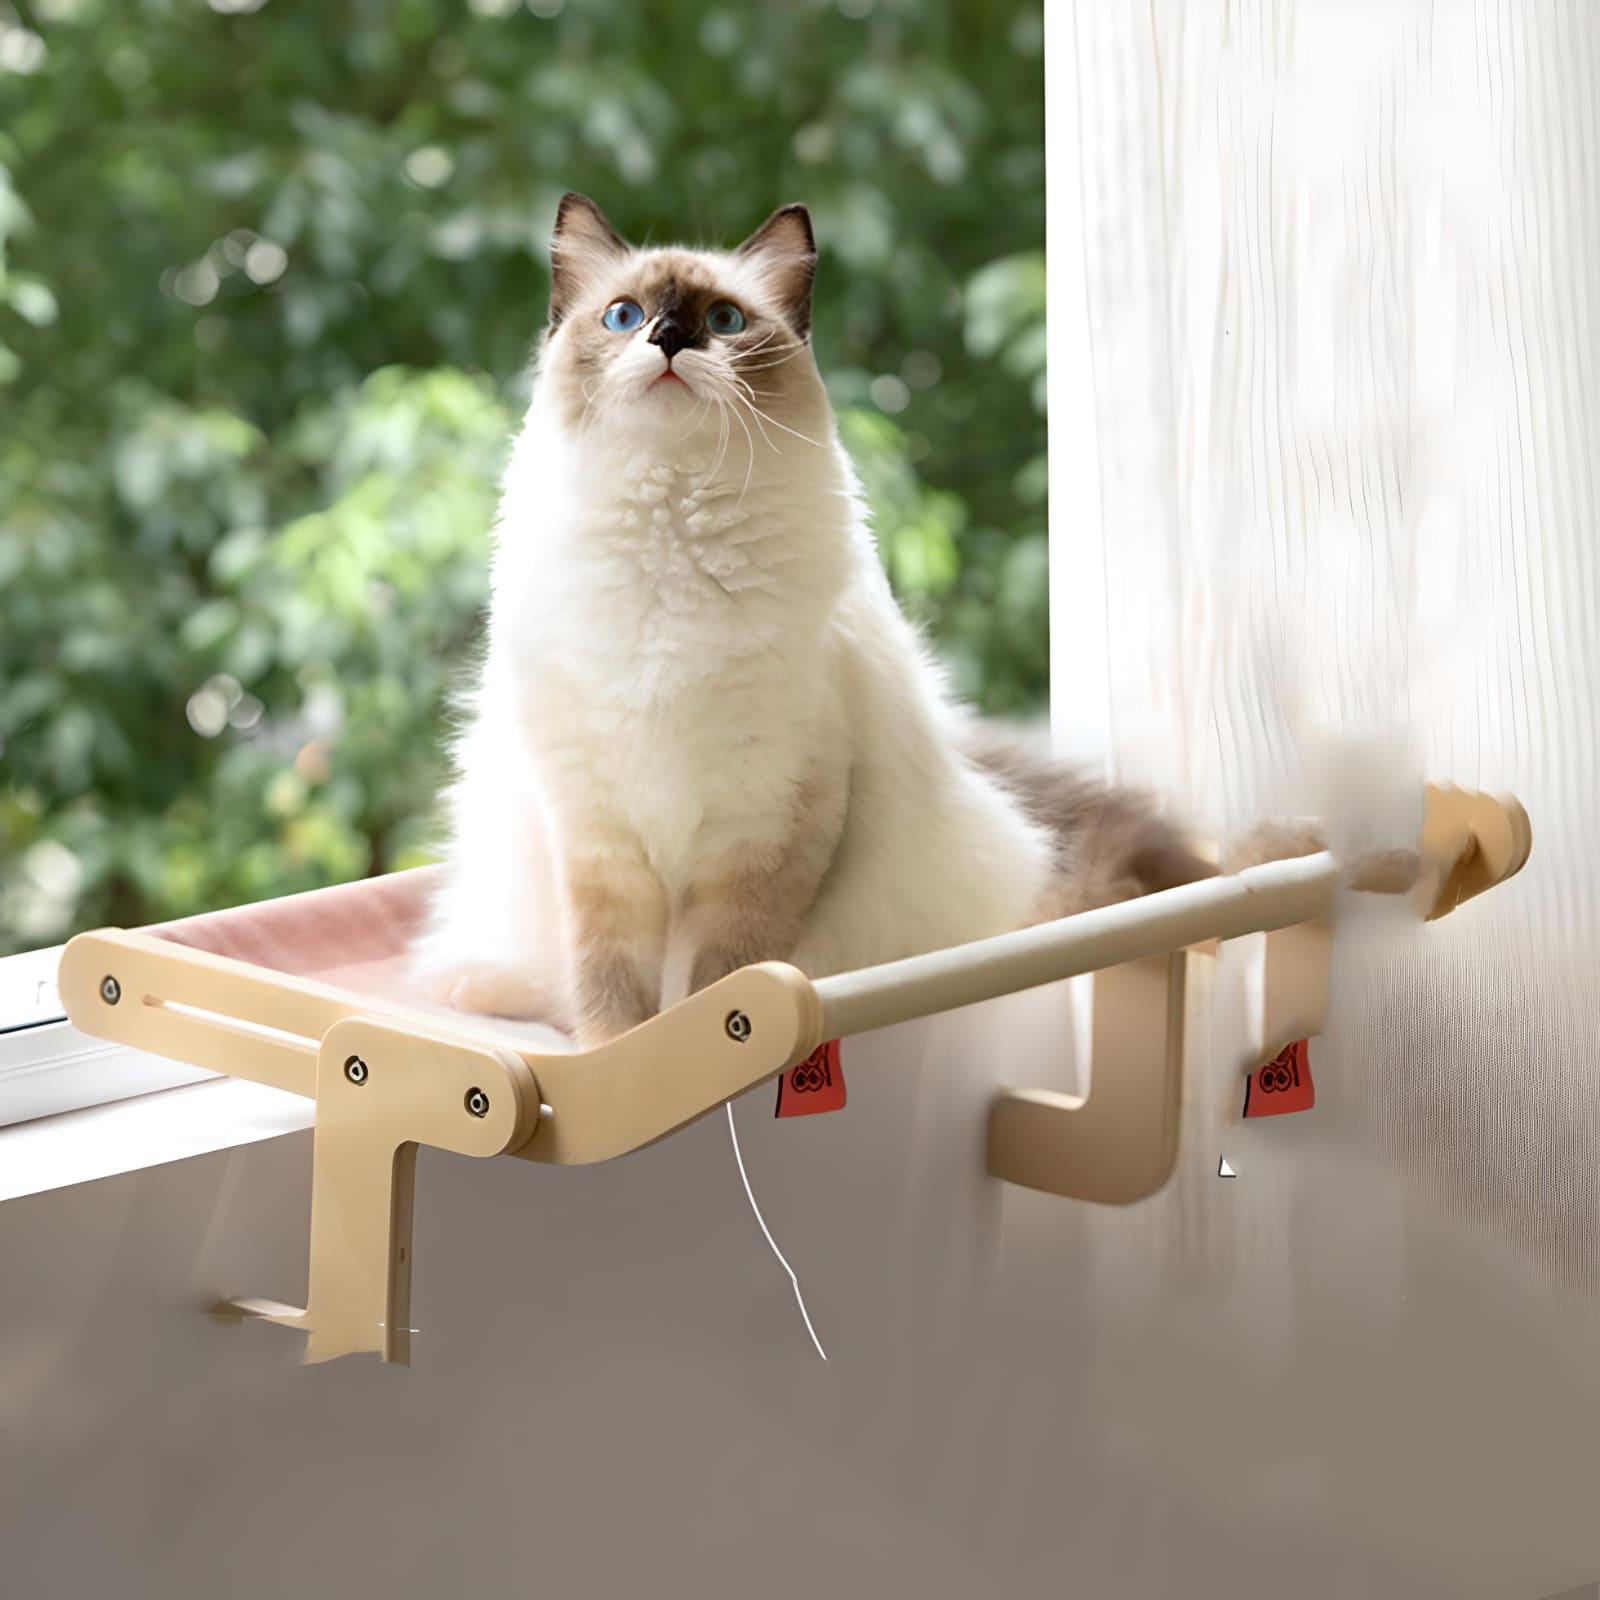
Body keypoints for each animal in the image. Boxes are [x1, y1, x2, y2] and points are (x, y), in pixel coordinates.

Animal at [412, 196, 1401, 1049]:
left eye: (724, 322)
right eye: (624, 316)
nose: (667, 339)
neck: (671, 548)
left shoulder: (767, 826)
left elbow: (717, 985)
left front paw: (684, 1051)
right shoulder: (596, 833)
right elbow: (612, 994)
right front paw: (614, 1057)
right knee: (528, 978)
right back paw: (482, 988)